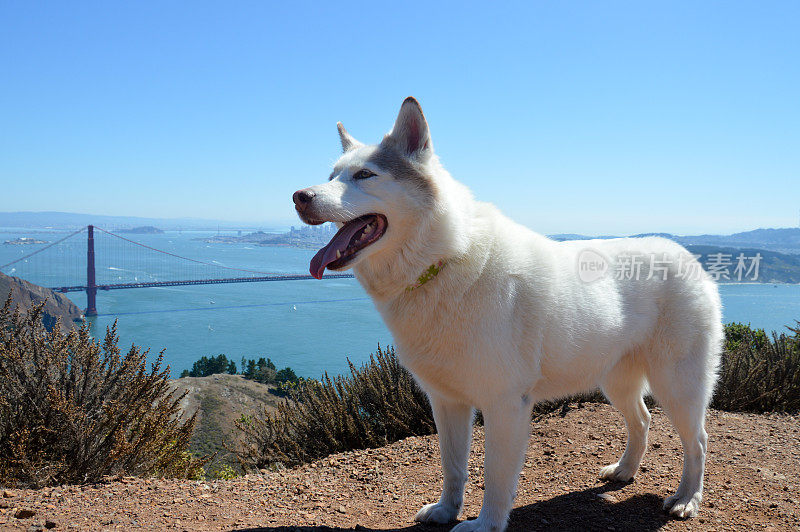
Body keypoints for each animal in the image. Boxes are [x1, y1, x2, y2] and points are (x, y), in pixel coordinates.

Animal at [294, 97, 724, 528]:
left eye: (365, 175)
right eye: (331, 175)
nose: (299, 196)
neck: (442, 261)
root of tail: (689, 257)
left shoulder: (504, 406)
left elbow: (495, 476)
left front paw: (485, 525)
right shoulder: (447, 403)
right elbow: (453, 467)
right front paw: (446, 510)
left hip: (678, 386)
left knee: (699, 442)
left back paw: (687, 499)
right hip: (615, 381)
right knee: (643, 421)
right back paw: (624, 471)